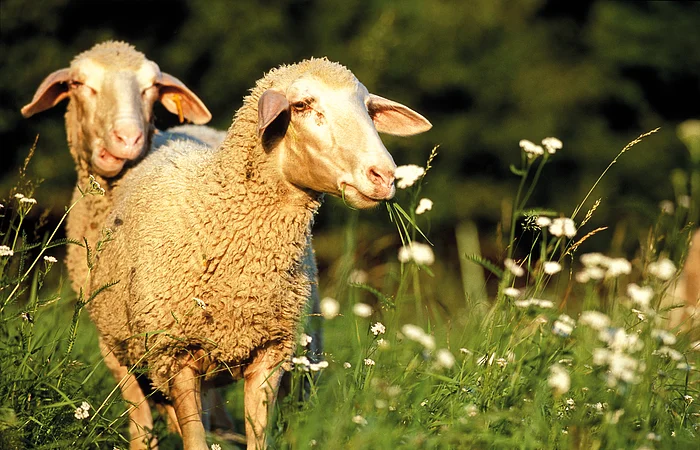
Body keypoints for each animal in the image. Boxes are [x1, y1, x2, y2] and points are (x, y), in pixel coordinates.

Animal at [89, 57, 432, 449]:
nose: (384, 176)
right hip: (116, 351)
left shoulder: (271, 352)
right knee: (141, 420)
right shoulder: (175, 356)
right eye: (301, 105)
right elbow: (194, 439)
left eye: (368, 109)